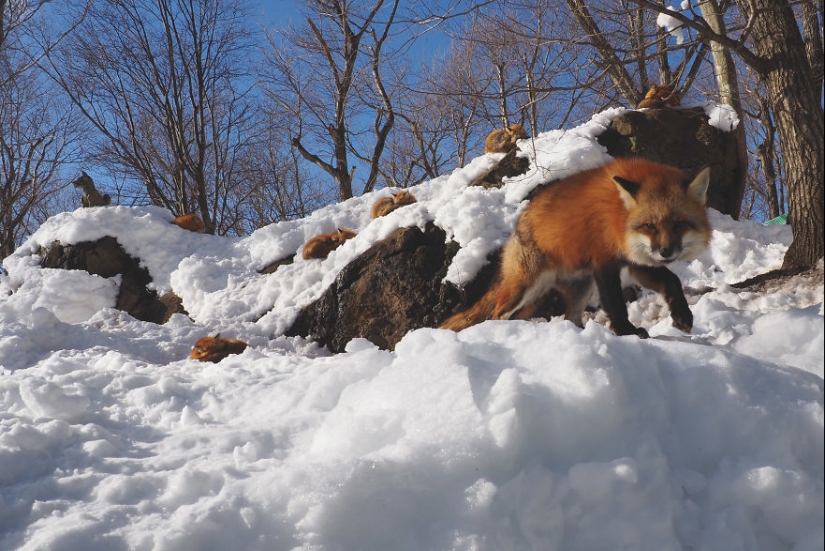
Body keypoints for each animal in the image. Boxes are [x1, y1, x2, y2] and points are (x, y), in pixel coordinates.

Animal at [440, 158, 712, 338]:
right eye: (650, 225)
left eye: (679, 224)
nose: (666, 252)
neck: (618, 217)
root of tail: (517, 226)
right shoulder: (604, 261)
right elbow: (615, 303)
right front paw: (627, 331)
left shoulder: (635, 261)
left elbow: (672, 280)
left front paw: (683, 317)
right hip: (526, 286)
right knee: (498, 313)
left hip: (582, 287)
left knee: (571, 318)